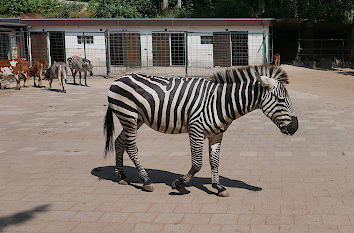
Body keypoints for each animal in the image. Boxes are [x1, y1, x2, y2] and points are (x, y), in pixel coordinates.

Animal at [103, 65, 298, 197]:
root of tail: (118, 79)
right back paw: (146, 181)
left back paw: (121, 176)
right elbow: (197, 163)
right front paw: (178, 184)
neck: (221, 101)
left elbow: (215, 161)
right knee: (132, 147)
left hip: (135, 119)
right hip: (128, 116)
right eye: (281, 100)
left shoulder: (217, 134)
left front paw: (218, 187)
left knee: (119, 142)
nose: (295, 127)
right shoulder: (195, 130)